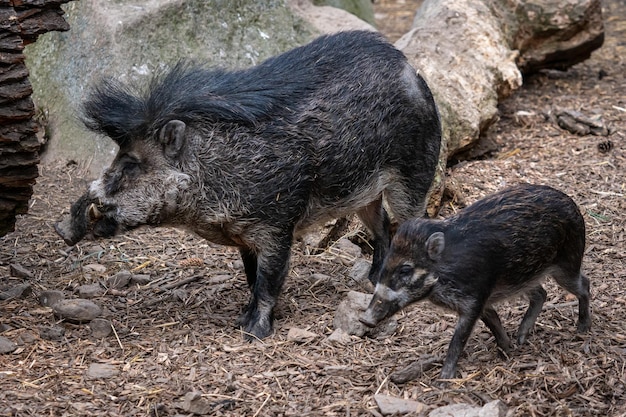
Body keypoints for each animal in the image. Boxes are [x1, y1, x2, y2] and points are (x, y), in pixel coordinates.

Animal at [56, 31, 442, 338]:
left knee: (409, 225)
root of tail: (411, 69)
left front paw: (254, 333)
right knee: (382, 228)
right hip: (365, 194)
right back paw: (369, 281)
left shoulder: (277, 226)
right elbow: (251, 278)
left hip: (413, 177)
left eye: (132, 163)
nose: (61, 228)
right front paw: (241, 319)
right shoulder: (243, 236)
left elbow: (269, 280)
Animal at [358, 184, 588, 378]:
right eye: (386, 263)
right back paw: (521, 337)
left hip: (567, 264)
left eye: (406, 269)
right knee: (541, 293)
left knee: (584, 285)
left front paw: (444, 379)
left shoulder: (474, 299)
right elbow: (493, 322)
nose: (365, 319)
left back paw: (582, 329)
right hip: (525, 278)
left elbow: (458, 340)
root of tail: (572, 203)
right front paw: (508, 349)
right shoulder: (483, 300)